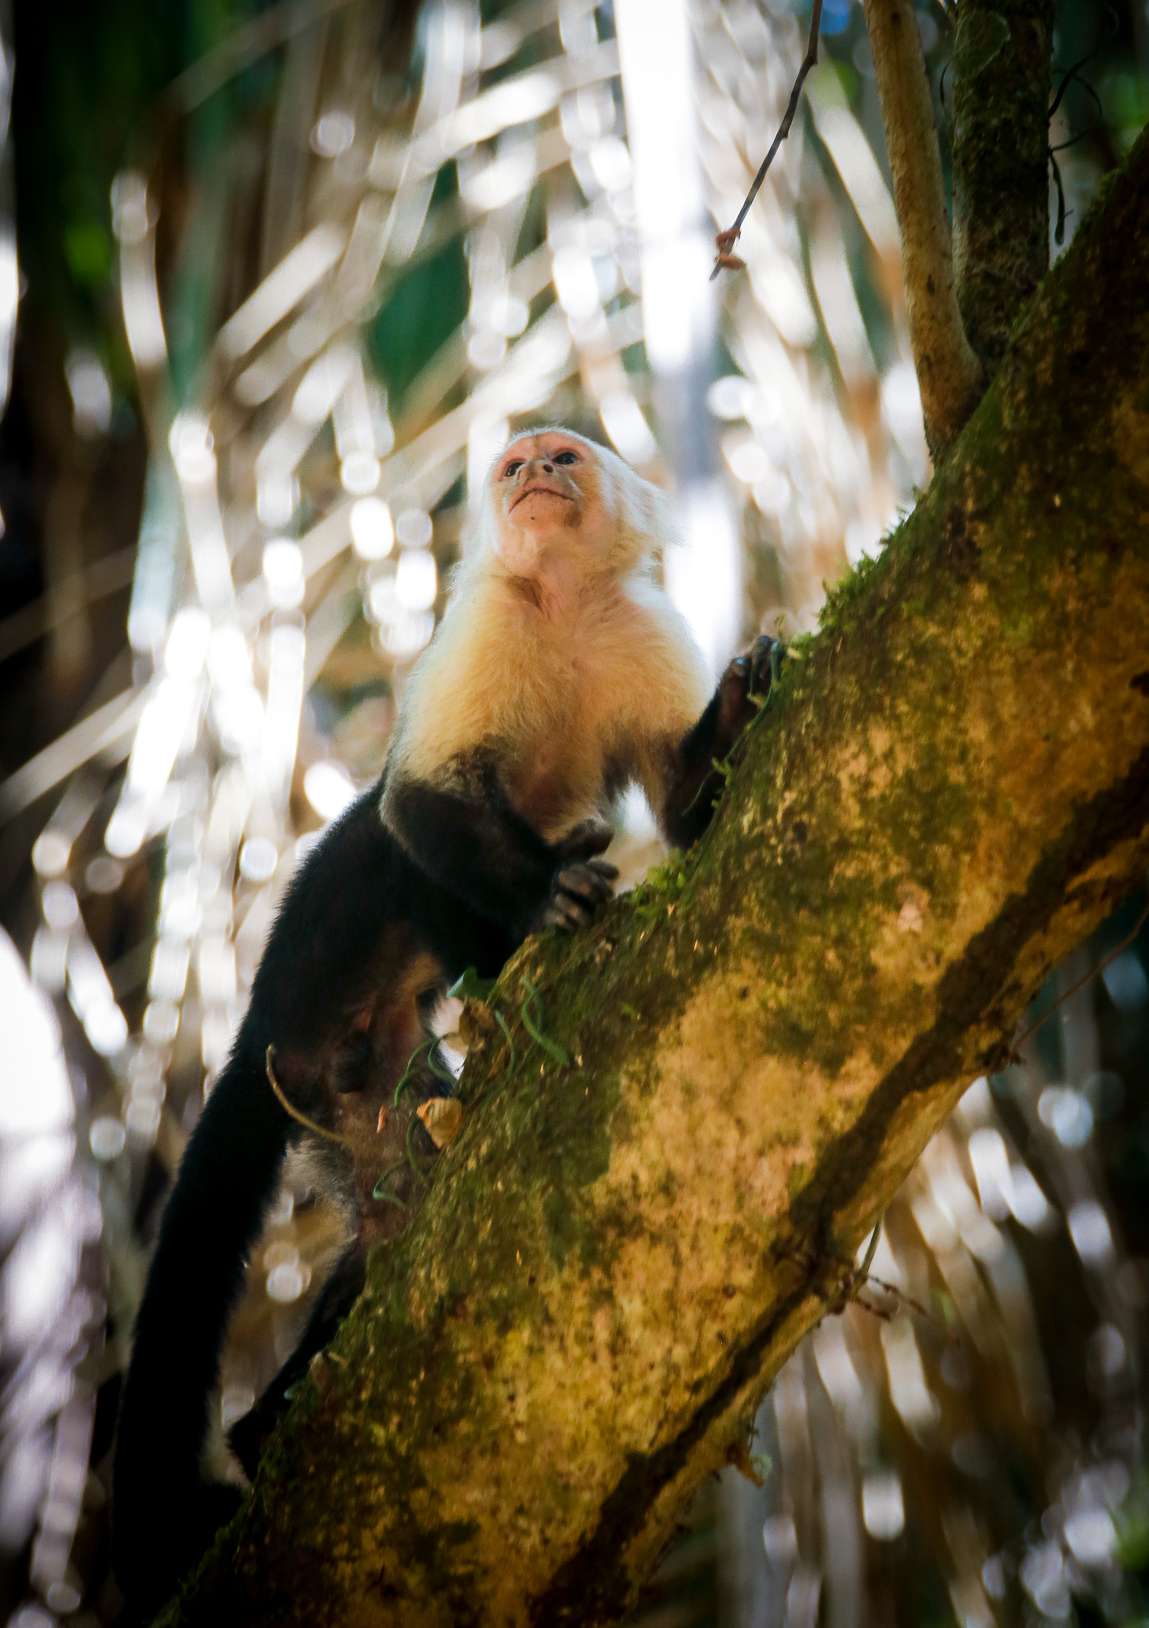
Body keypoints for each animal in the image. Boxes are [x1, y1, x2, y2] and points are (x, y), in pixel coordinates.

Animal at [111, 427, 777, 1615]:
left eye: (565, 458)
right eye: (514, 464)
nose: (531, 475)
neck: (559, 606)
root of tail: (261, 1027)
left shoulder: (639, 626)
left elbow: (686, 804)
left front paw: (741, 707)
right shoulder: (481, 630)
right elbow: (420, 802)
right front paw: (545, 894)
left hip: (367, 1091)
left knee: (386, 1231)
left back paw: (267, 1417)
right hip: (319, 982)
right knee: (393, 851)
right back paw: (510, 941)